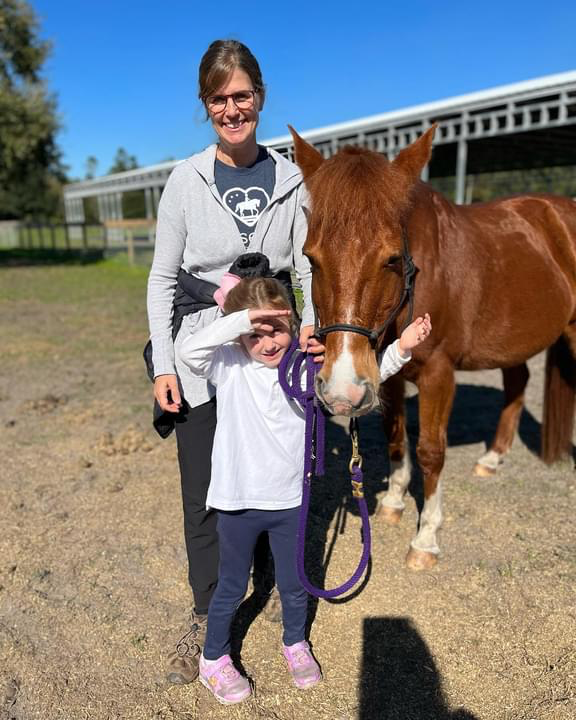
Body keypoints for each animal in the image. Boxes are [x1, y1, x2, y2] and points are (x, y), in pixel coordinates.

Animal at [290, 126, 576, 572]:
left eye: (392, 258)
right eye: (311, 258)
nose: (340, 393)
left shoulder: (437, 373)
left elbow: (430, 451)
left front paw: (426, 538)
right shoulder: (385, 377)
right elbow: (395, 438)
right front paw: (393, 503)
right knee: (518, 381)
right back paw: (491, 459)